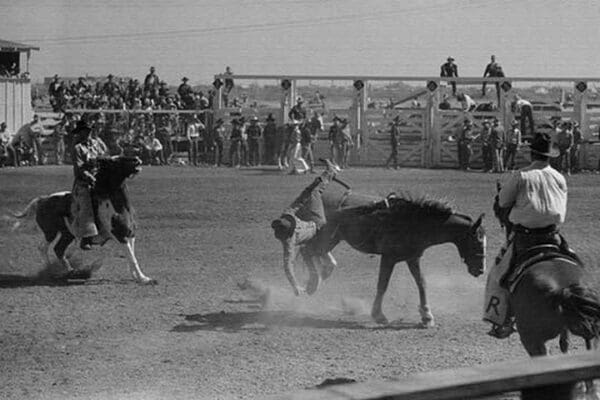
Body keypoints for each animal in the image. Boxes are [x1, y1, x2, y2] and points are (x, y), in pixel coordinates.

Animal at [10, 155, 156, 284]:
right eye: (114, 161)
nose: (137, 159)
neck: (118, 207)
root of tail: (42, 200)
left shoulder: (130, 234)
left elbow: (132, 256)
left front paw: (138, 277)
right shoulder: (120, 235)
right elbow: (132, 258)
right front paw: (145, 280)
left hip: (67, 234)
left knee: (58, 249)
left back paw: (71, 271)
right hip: (50, 232)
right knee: (43, 248)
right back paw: (51, 273)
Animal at [282, 180, 488, 326]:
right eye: (477, 242)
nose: (480, 270)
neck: (413, 221)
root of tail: (316, 197)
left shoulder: (413, 257)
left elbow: (422, 283)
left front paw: (427, 316)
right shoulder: (389, 258)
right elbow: (383, 285)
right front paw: (379, 315)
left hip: (333, 239)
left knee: (315, 253)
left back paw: (322, 273)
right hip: (326, 238)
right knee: (308, 251)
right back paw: (312, 283)